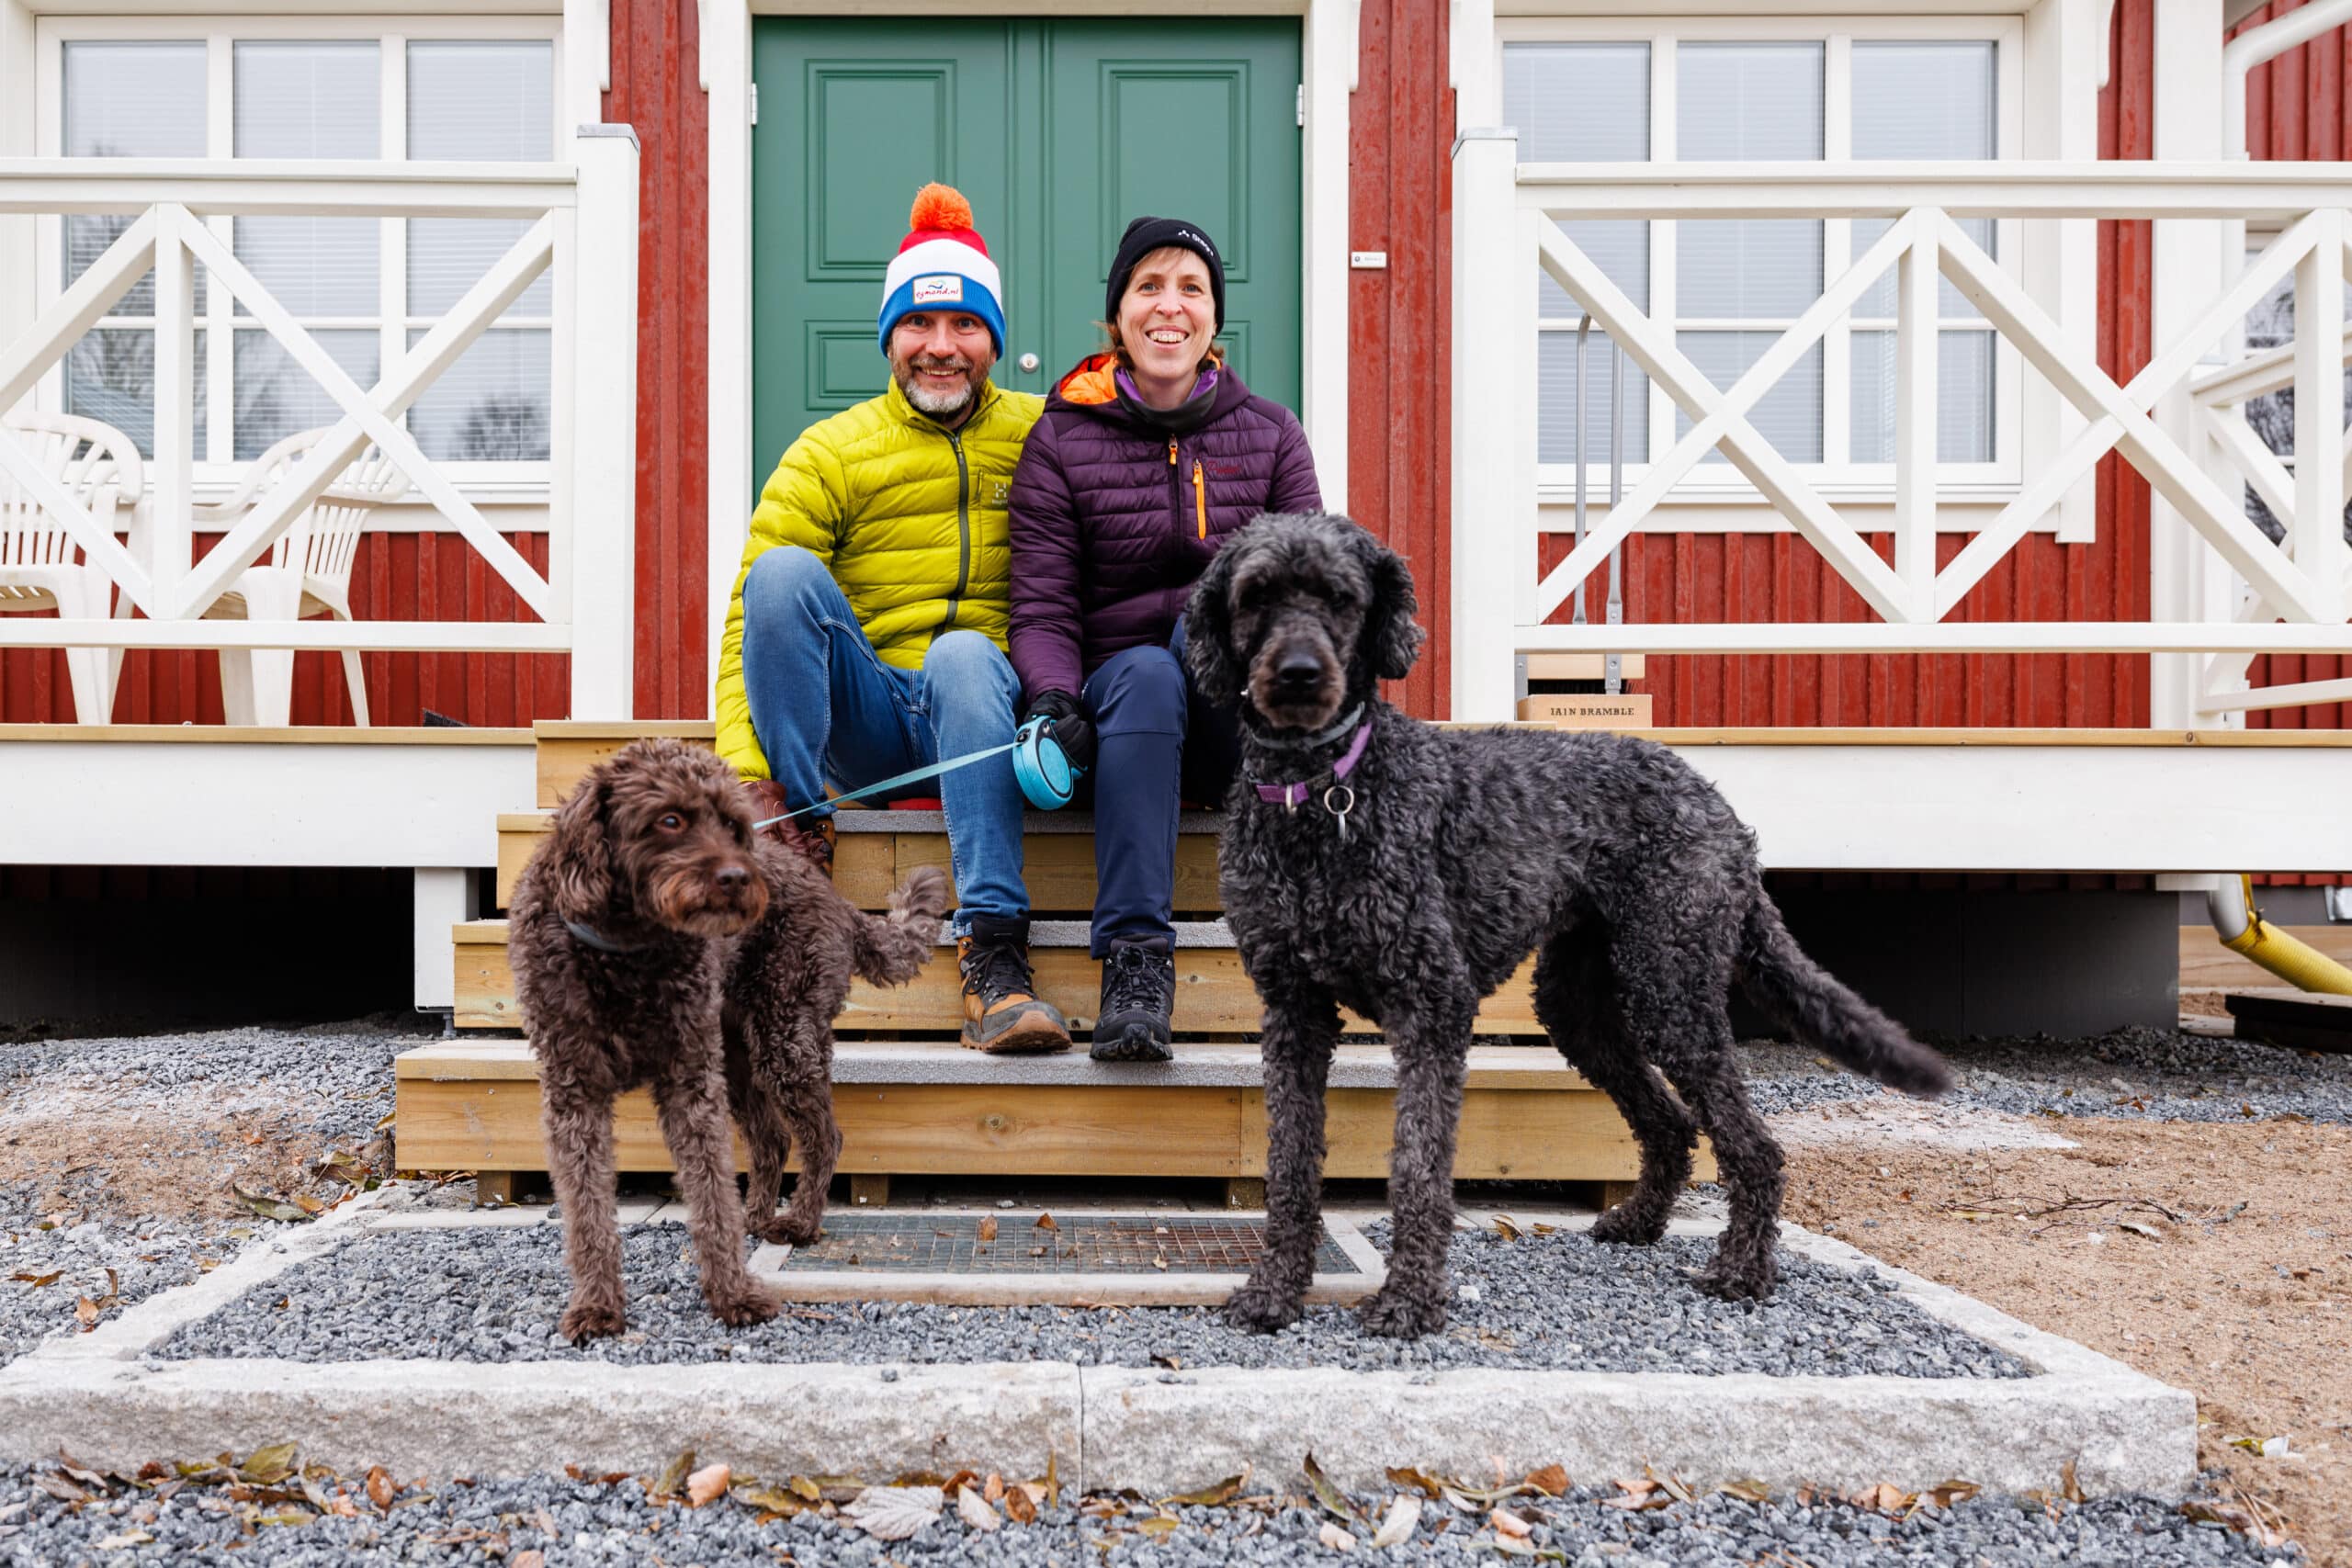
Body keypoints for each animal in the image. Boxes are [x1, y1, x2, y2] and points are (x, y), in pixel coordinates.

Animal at [514, 742, 945, 1344]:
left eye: (732, 824)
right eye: (670, 819)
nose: (739, 878)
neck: (625, 949)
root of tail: (836, 899)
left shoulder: (691, 1084)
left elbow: (711, 1191)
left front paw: (733, 1294)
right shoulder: (573, 1095)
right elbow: (587, 1210)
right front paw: (596, 1306)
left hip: (786, 1037)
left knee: (822, 1137)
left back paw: (800, 1222)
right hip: (741, 1054)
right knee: (771, 1140)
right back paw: (759, 1219)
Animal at [1185, 512, 1956, 1335]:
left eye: (1341, 597)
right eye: (1256, 595)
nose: (1299, 674)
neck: (1326, 790)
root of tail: (1721, 807)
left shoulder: (1432, 1002)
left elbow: (1417, 1164)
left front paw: (1410, 1300)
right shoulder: (1292, 1008)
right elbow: (1291, 1162)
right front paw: (1274, 1289)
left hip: (1671, 987)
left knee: (1754, 1145)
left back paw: (1743, 1270)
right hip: (1580, 1001)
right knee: (1672, 1122)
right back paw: (1639, 1222)